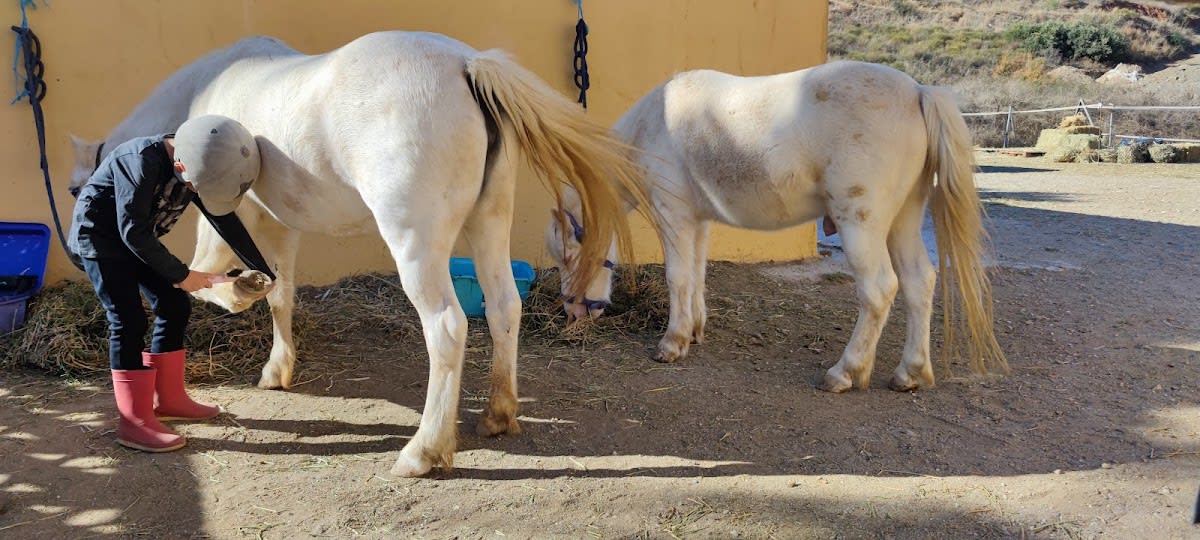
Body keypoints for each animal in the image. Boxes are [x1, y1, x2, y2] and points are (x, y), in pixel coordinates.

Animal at [68, 31, 646, 476]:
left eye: (78, 188)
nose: (78, 253)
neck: (207, 92)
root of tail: (465, 65)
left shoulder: (226, 217)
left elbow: (211, 277)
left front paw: (239, 294)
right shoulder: (283, 226)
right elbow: (281, 294)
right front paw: (278, 367)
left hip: (416, 246)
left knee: (447, 327)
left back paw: (423, 452)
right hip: (488, 226)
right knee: (504, 308)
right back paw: (498, 414)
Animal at [546, 60, 1008, 392]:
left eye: (569, 253)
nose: (572, 313)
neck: (654, 124)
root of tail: (918, 92)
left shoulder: (672, 213)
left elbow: (678, 277)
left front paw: (672, 343)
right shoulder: (697, 220)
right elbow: (696, 275)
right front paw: (694, 330)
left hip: (862, 223)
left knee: (879, 289)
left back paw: (844, 372)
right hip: (904, 220)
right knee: (918, 282)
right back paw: (910, 373)